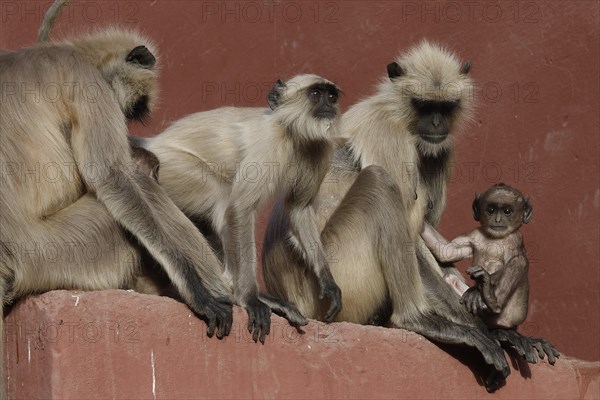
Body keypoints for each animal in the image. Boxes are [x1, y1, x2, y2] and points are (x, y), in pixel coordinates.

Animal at [1, 8, 236, 394]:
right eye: (133, 108)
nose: (125, 120)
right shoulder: (86, 79)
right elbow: (110, 177)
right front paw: (198, 292)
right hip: (56, 251)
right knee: (136, 186)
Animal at [141, 76, 344, 344]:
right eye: (315, 94)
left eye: (331, 96)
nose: (328, 106)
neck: (292, 133)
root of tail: (152, 142)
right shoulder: (269, 142)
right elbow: (241, 207)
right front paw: (249, 300)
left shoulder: (318, 148)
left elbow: (299, 208)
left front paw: (328, 283)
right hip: (172, 168)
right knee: (222, 197)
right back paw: (238, 293)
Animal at [262, 42, 556, 392]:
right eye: (423, 105)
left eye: (445, 107)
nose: (436, 123)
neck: (404, 120)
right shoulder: (388, 132)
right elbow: (410, 232)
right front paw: (484, 331)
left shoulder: (441, 150)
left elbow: (433, 238)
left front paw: (501, 330)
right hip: (338, 276)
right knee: (380, 183)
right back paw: (415, 320)